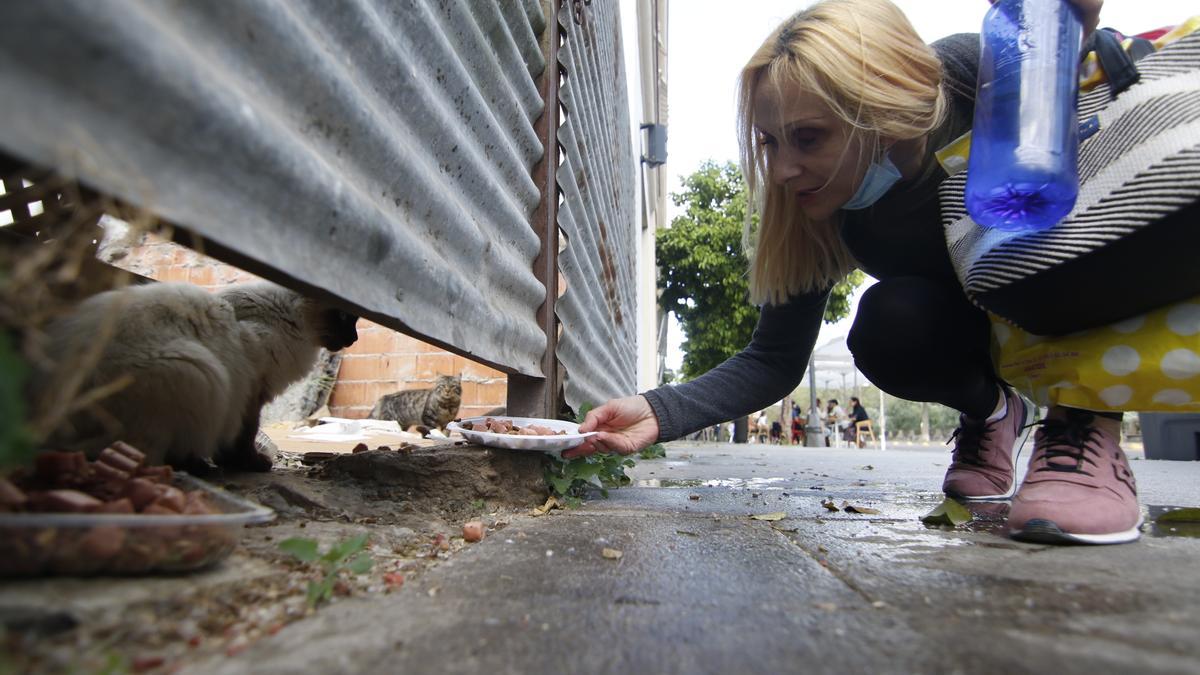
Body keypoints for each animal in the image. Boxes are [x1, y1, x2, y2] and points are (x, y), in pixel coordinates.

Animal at [35, 278, 357, 468]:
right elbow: (245, 434)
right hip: (200, 373)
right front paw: (251, 464)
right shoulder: (251, 388)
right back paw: (197, 465)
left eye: (353, 321)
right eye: (344, 317)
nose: (354, 339)